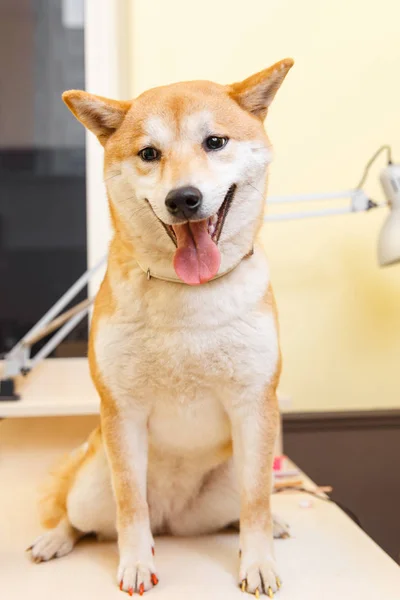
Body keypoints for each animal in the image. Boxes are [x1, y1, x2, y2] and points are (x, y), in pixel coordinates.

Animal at [28, 57, 292, 596]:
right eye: (149, 153)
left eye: (215, 141)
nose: (183, 198)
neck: (189, 291)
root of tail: (172, 521)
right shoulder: (123, 412)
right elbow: (130, 505)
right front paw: (134, 563)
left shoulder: (255, 405)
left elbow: (256, 503)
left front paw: (258, 561)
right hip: (93, 484)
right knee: (80, 518)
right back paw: (55, 539)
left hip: (227, 481)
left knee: (240, 510)